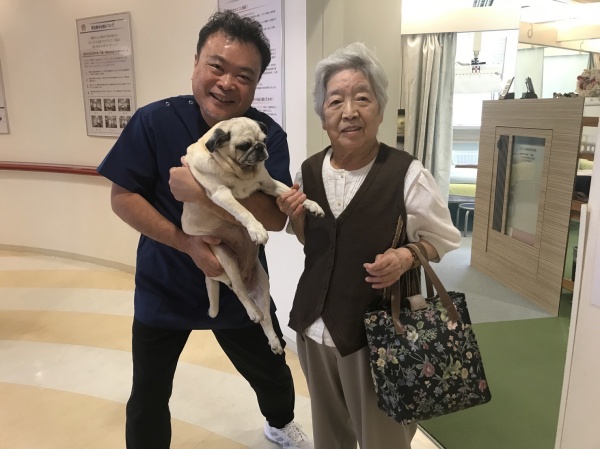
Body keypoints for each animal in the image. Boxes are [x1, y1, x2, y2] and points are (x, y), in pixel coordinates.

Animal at [181, 117, 325, 354]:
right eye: (244, 145)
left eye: (264, 140)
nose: (260, 148)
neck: (241, 172)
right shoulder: (222, 195)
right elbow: (243, 211)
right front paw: (256, 230)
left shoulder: (269, 184)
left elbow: (292, 192)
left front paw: (312, 205)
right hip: (224, 257)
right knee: (239, 291)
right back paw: (252, 312)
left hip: (263, 283)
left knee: (266, 316)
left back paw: (273, 340)